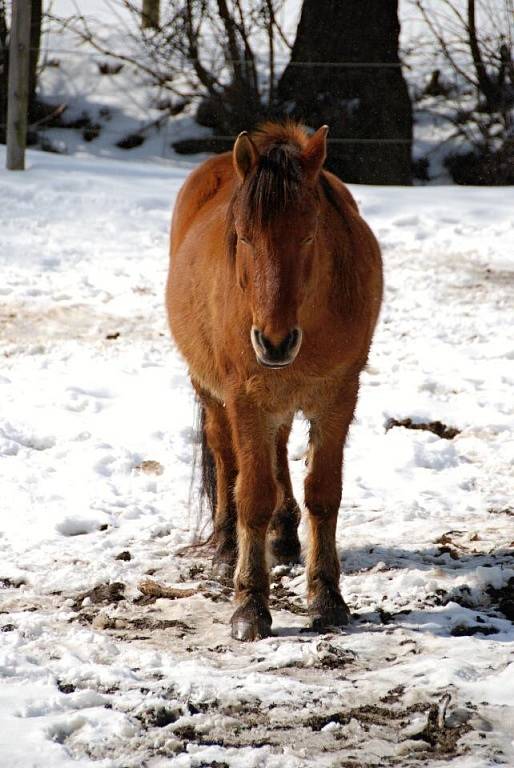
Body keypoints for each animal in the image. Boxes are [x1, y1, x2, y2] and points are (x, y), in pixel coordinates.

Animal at [167, 120, 380, 640]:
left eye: (309, 235)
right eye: (243, 237)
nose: (274, 342)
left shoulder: (339, 397)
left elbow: (323, 493)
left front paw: (326, 597)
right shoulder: (245, 399)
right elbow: (253, 494)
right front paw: (250, 604)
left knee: (279, 447)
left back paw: (284, 537)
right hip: (214, 394)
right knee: (226, 461)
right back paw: (226, 550)